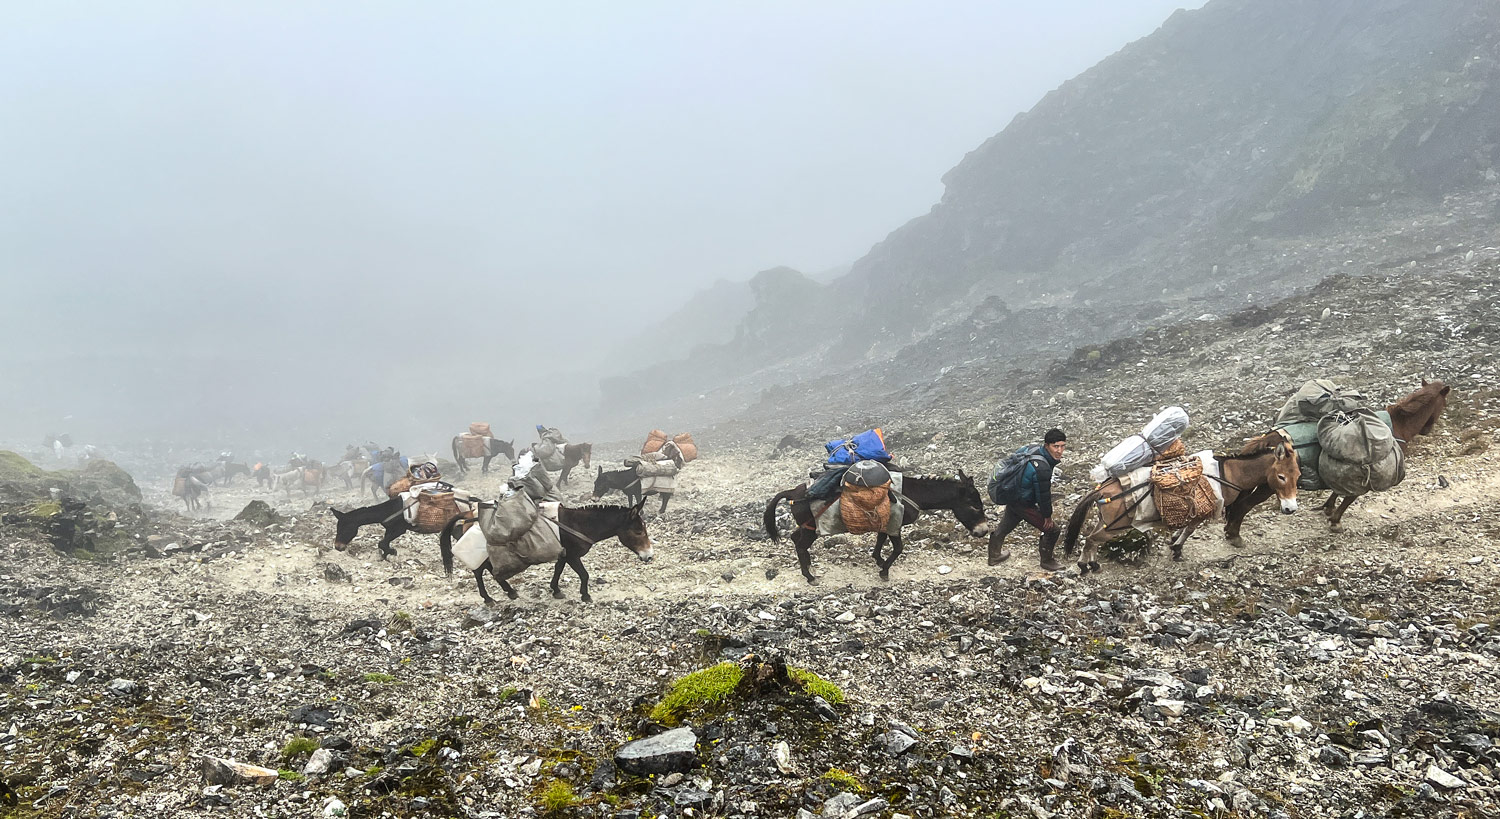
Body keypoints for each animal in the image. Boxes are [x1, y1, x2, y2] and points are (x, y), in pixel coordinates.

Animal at [1068, 429, 1302, 570]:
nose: (1290, 508)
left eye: (1298, 475)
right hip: (1115, 526)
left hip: (1106, 521)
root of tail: (1103, 489)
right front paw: (1177, 549)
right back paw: (1085, 566)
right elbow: (1189, 529)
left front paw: (1174, 542)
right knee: (1091, 539)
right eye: (1281, 476)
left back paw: (1091, 563)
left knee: (1090, 537)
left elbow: (1185, 527)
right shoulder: (1204, 510)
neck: (1228, 473)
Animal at [1320, 378, 1446, 525]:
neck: (1398, 426)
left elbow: (1339, 491)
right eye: (1443, 404)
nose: (1426, 431)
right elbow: (1349, 497)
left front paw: (1329, 508)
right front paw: (1335, 520)